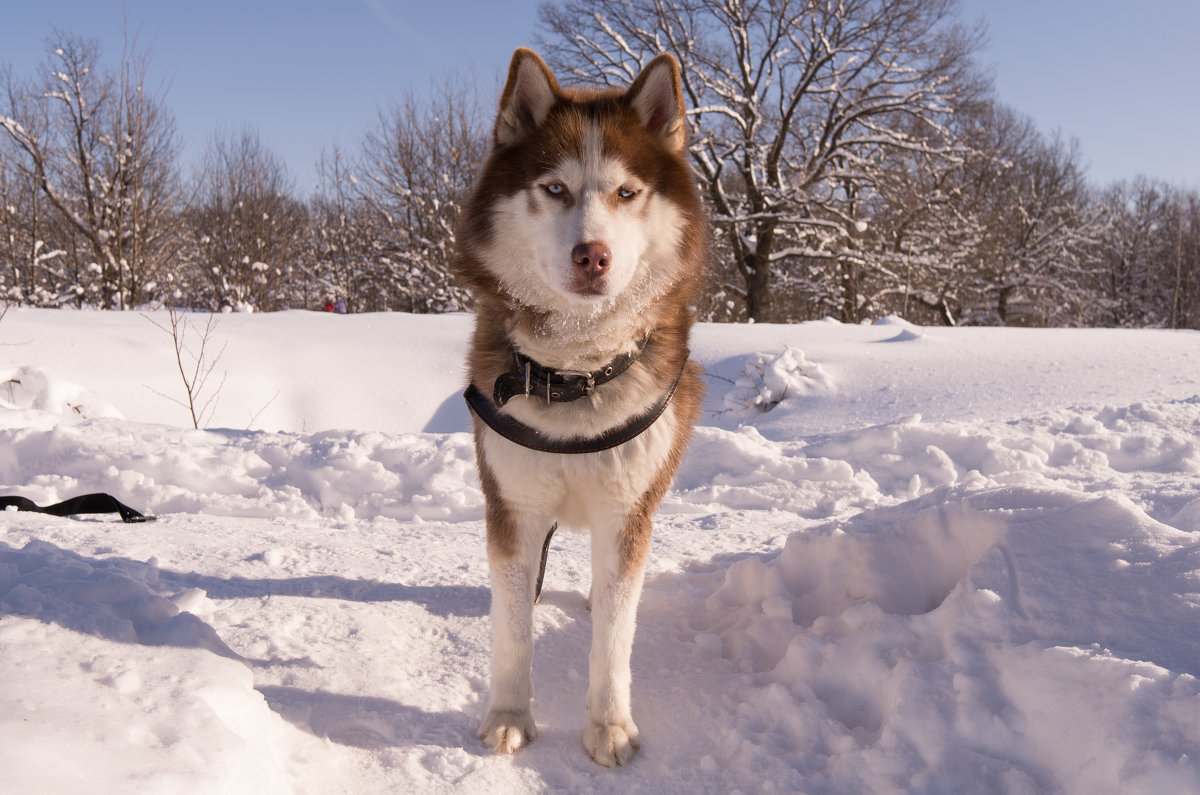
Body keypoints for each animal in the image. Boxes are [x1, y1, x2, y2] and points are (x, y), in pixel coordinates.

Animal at [453, 46, 705, 768]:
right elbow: (512, 627)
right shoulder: (512, 504)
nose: (592, 255)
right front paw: (509, 715)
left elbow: (616, 635)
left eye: (626, 192)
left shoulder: (626, 510)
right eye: (556, 189)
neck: (573, 375)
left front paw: (610, 725)